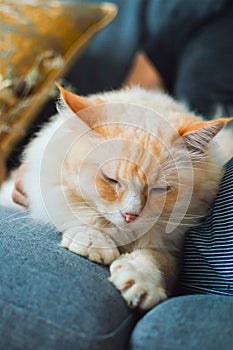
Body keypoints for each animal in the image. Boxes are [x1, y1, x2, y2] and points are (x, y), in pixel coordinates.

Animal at [0, 85, 232, 308]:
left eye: (160, 189)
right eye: (110, 180)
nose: (131, 216)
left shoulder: (173, 247)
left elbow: (156, 260)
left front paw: (138, 282)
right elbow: (77, 212)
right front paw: (94, 244)